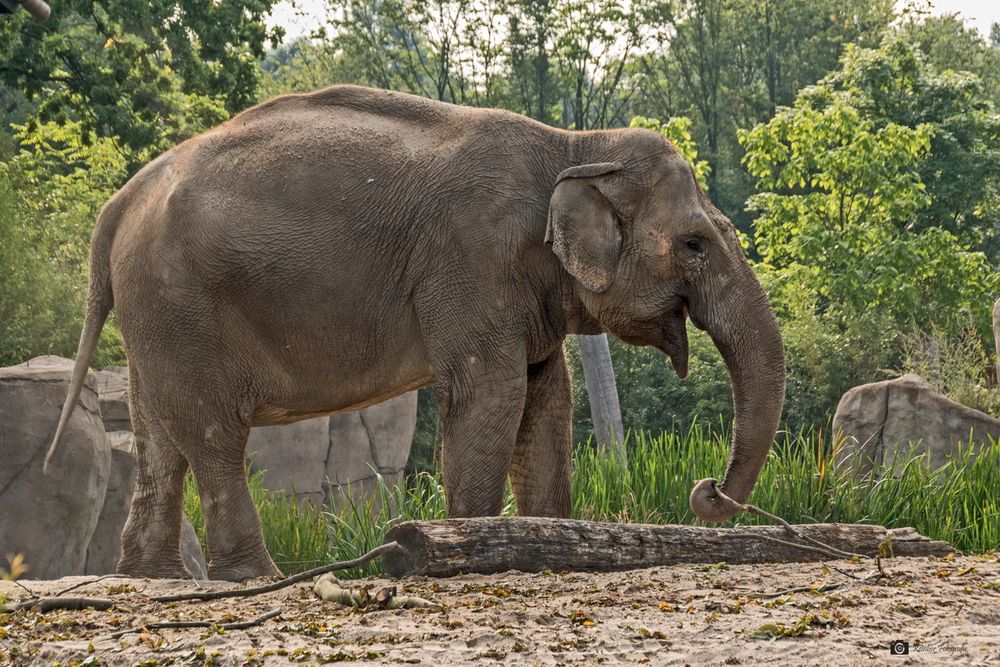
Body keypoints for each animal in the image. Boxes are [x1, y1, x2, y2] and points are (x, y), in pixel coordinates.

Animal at [47, 83, 784, 580]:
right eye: (693, 244)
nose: (706, 491)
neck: (573, 145)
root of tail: (121, 200)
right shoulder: (471, 259)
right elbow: (493, 394)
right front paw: (476, 546)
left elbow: (548, 399)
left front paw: (551, 538)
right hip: (181, 300)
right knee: (212, 431)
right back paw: (254, 576)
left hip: (156, 312)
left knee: (159, 432)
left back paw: (151, 576)